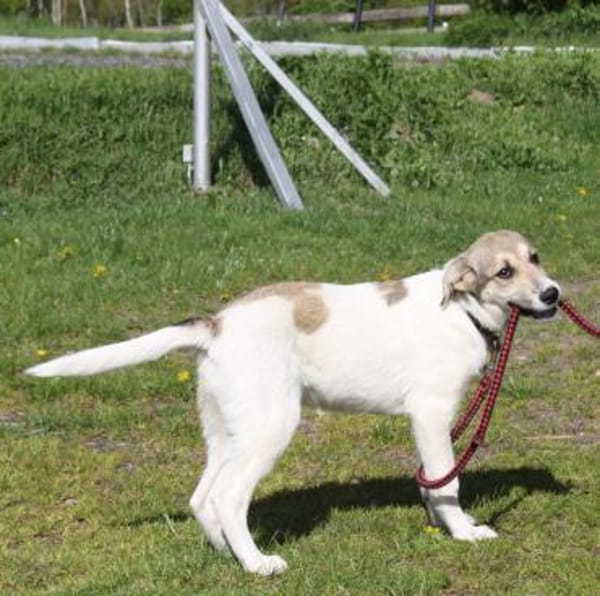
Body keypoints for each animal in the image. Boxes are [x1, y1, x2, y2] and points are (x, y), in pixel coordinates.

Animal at [26, 230, 561, 575]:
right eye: (504, 271)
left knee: (202, 498)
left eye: (536, 257)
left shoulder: (431, 423)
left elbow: (434, 479)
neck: (463, 312)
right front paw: (463, 532)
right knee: (227, 497)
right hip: (272, 426)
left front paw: (443, 522)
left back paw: (229, 556)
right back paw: (258, 564)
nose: (554, 294)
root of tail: (217, 325)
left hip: (228, 431)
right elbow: (448, 482)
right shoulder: (430, 413)